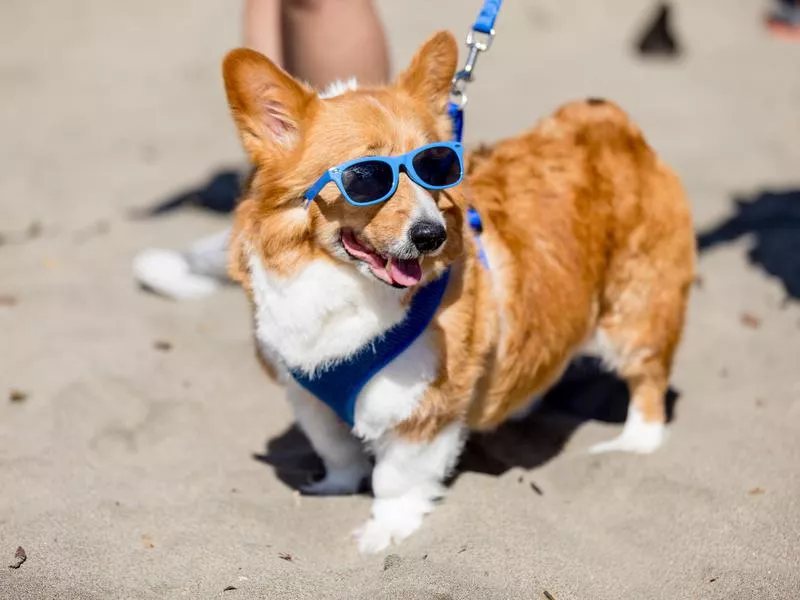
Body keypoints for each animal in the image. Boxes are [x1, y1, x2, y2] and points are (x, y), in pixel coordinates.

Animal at [222, 30, 696, 552]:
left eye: (435, 165)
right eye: (363, 177)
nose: (432, 235)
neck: (342, 282)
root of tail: (611, 121)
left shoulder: (424, 407)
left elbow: (396, 478)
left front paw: (382, 533)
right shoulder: (306, 396)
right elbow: (337, 449)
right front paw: (335, 487)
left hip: (632, 315)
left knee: (648, 381)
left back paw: (633, 444)